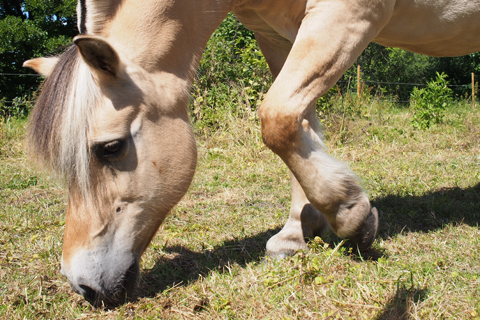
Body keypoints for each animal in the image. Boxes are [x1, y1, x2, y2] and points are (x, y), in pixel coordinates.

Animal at [23, 0, 480, 306]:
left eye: (111, 147)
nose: (83, 285)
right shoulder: (279, 35)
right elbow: (299, 122)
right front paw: (296, 233)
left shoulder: (348, 13)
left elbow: (277, 118)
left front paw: (351, 214)